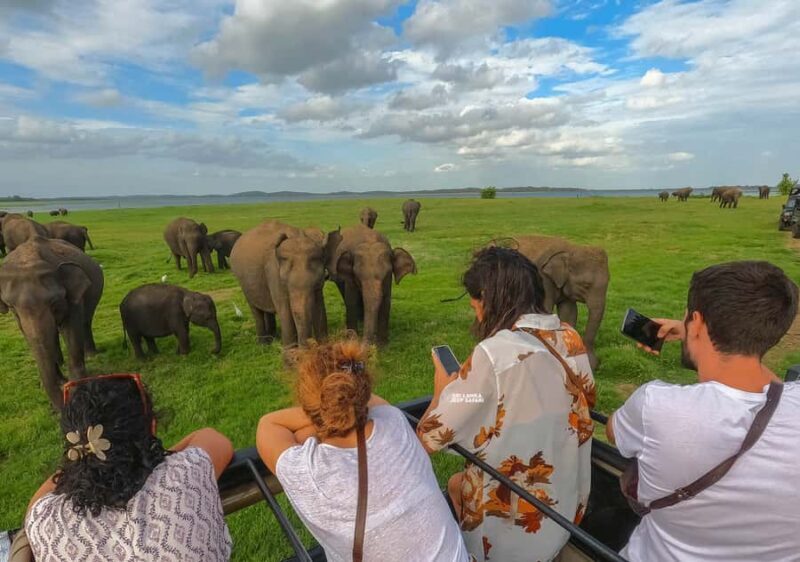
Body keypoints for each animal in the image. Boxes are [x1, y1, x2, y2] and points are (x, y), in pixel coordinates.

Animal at [0, 236, 104, 409]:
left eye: (54, 302)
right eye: (11, 307)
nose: (59, 408)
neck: (29, 258)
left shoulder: (73, 298)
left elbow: (71, 329)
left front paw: (76, 383)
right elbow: (31, 336)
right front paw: (60, 381)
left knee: (85, 322)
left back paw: (91, 355)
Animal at [514, 235, 609, 370]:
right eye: (586, 285)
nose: (595, 366)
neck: (571, 249)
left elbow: (569, 312)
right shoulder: (543, 279)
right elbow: (546, 310)